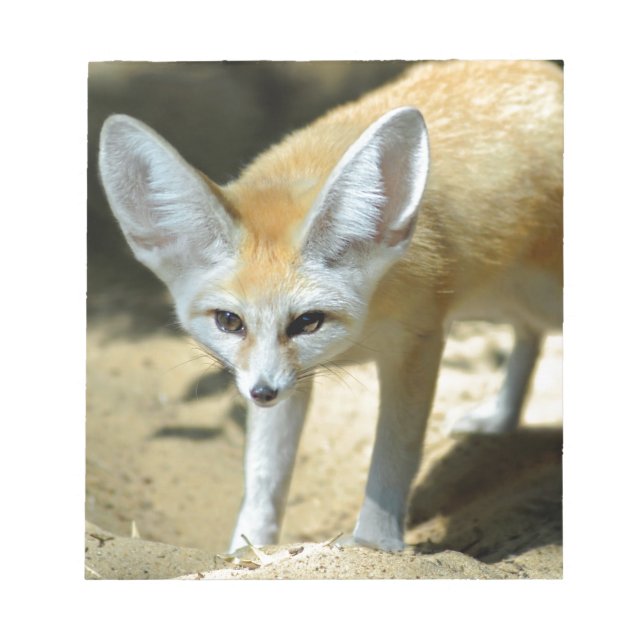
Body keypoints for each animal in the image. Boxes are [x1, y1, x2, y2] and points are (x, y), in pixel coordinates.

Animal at [98, 60, 563, 553]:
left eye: (308, 322)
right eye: (229, 321)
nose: (261, 393)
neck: (362, 331)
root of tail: (539, 71)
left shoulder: (418, 343)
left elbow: (392, 457)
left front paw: (376, 544)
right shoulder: (287, 379)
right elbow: (264, 476)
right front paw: (249, 549)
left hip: (536, 297)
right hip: (498, 300)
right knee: (528, 333)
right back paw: (502, 416)